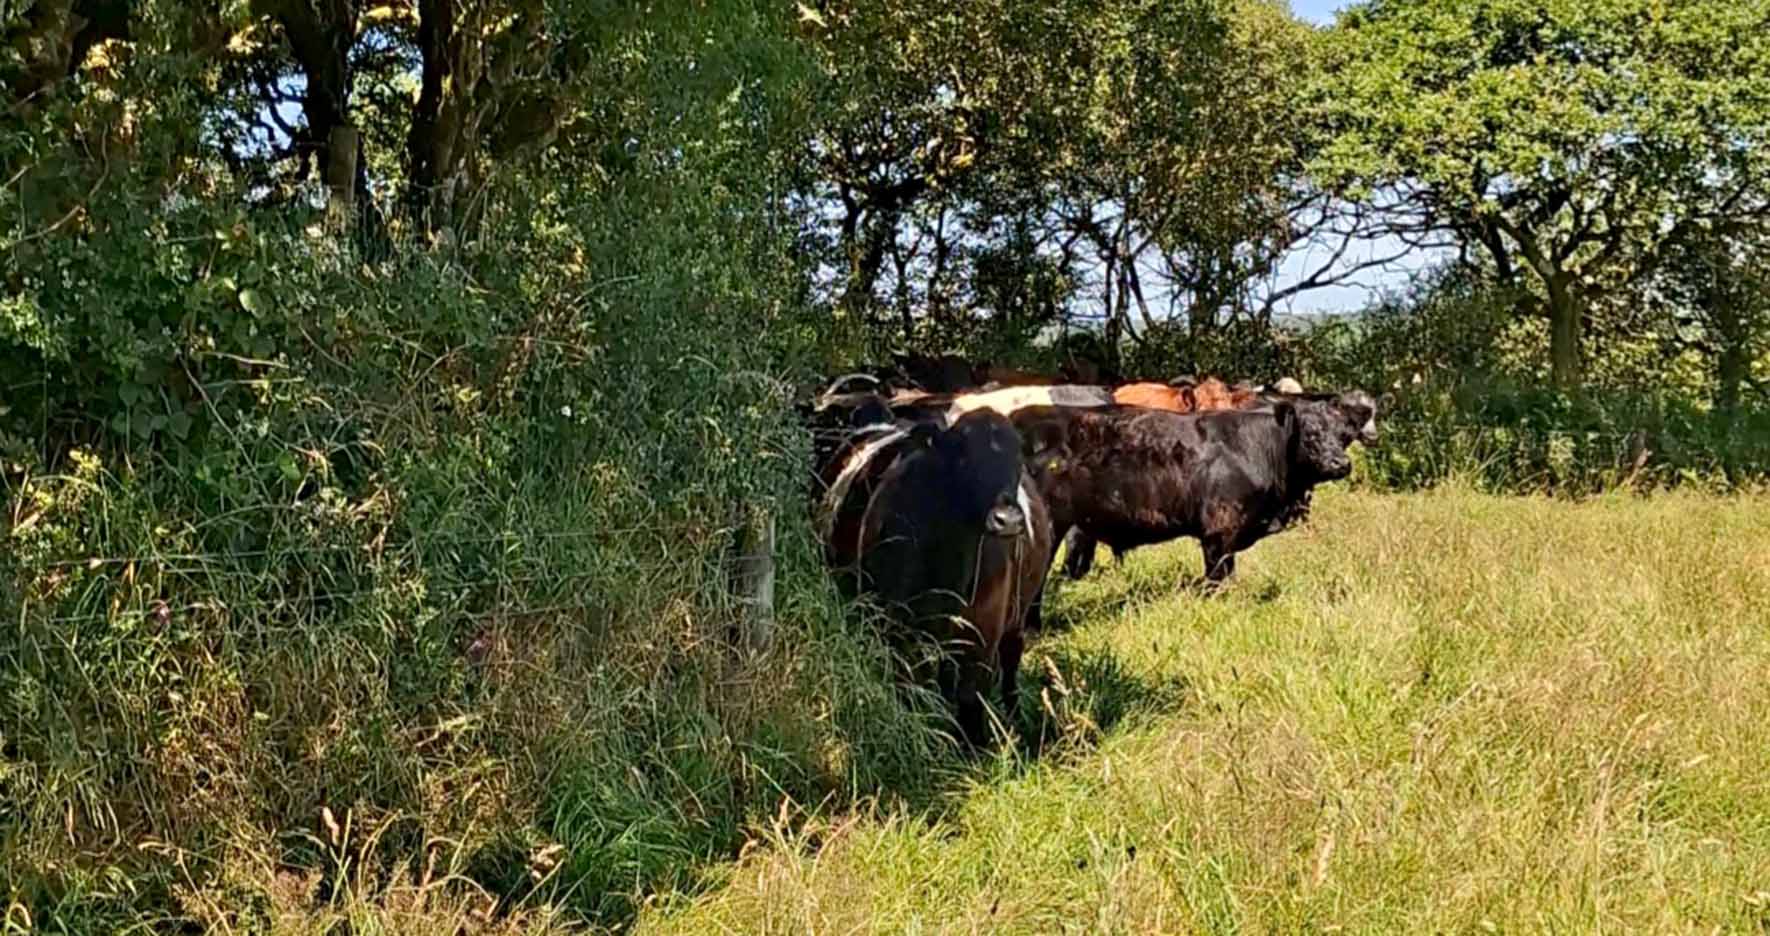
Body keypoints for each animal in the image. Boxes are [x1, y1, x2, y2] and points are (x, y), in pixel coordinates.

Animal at [801, 399, 1052, 745]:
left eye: (1018, 459)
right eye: (961, 455)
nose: (1009, 519)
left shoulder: (982, 634)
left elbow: (971, 695)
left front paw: (974, 746)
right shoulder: (896, 627)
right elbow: (911, 688)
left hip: (1017, 617)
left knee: (1010, 662)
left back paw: (1013, 716)